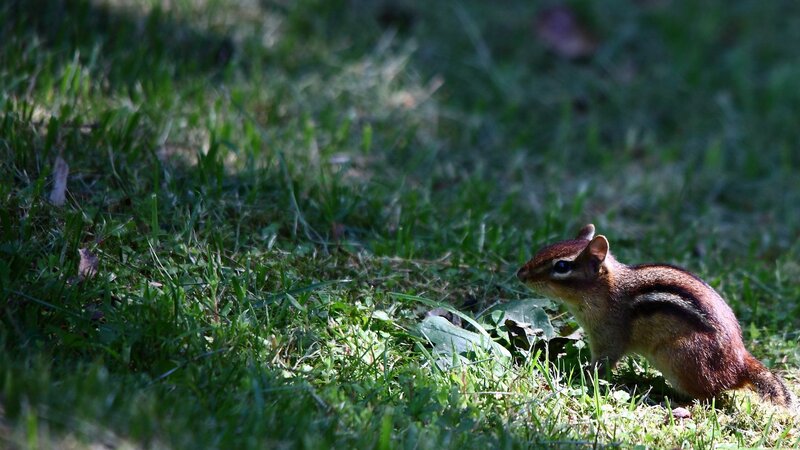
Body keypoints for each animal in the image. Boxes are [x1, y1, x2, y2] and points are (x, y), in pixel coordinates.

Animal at [517, 224, 793, 407]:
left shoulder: (608, 337)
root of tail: (739, 362)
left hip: (679, 355)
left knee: (708, 396)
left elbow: (602, 364)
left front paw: (577, 373)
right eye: (545, 248)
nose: (521, 273)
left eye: (562, 266)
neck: (606, 291)